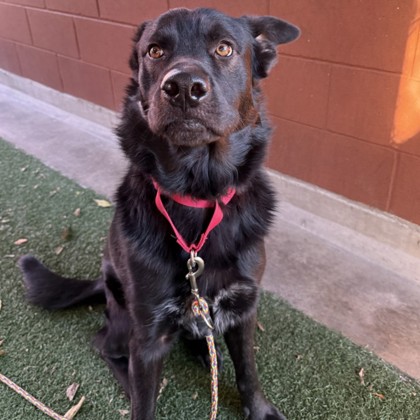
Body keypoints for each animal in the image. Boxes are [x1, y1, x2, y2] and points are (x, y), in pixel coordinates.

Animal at [20, 8, 299, 420]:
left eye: (224, 48)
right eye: (154, 51)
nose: (183, 86)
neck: (198, 195)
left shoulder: (243, 306)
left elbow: (248, 371)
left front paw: (260, 410)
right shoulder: (149, 332)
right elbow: (144, 402)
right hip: (125, 314)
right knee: (106, 345)